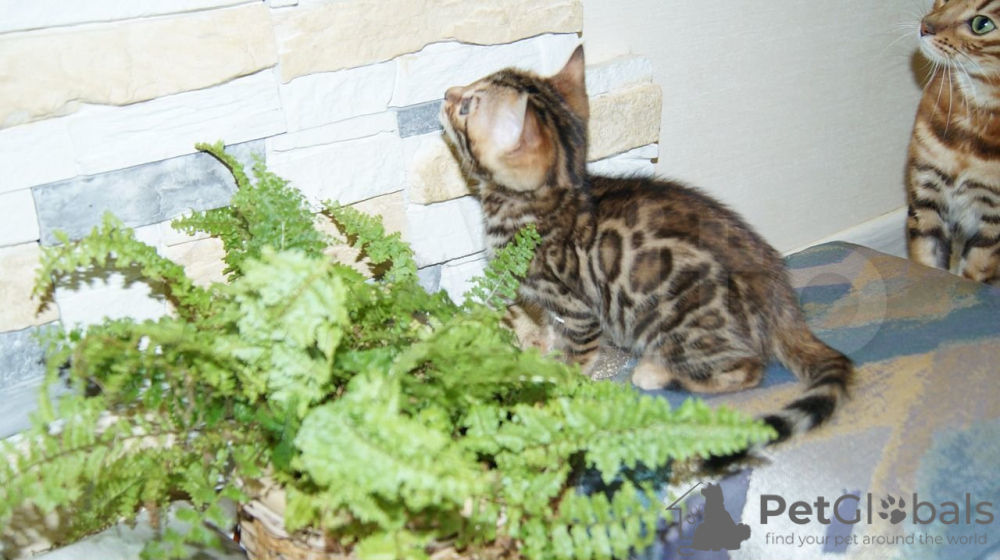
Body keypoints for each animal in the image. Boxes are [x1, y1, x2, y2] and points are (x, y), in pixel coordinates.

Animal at [439, 46, 853, 463]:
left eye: (467, 107)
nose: (446, 93)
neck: (547, 199)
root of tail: (779, 292)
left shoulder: (578, 310)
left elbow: (574, 358)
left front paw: (555, 387)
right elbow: (550, 334)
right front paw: (541, 353)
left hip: (676, 322)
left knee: (747, 369)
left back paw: (658, 373)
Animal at [907, 0, 1000, 284]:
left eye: (982, 24)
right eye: (947, 0)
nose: (925, 26)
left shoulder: (992, 221)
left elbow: (972, 273)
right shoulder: (926, 198)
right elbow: (926, 261)